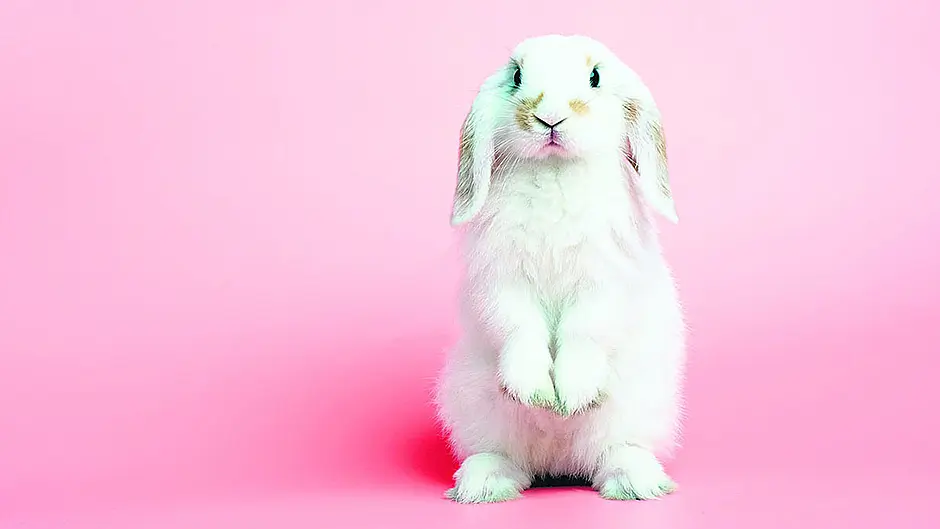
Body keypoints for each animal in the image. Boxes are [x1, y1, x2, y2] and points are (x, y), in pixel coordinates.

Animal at [434, 34, 687, 503]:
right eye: (517, 77)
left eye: (595, 77)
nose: (549, 117)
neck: (555, 171)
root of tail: (558, 461)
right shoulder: (502, 284)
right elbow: (519, 329)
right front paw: (536, 393)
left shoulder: (602, 284)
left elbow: (583, 331)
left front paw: (571, 397)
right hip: (472, 402)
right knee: (508, 457)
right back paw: (484, 483)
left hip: (638, 403)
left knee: (613, 452)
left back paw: (636, 481)